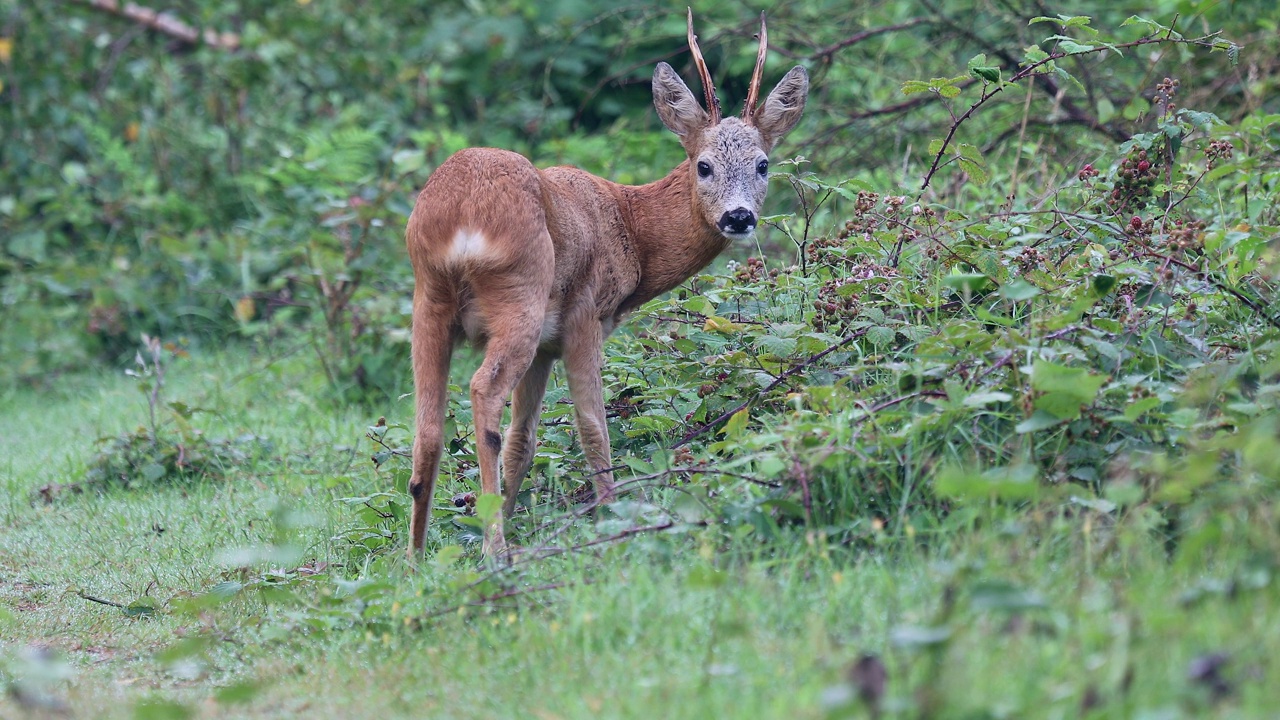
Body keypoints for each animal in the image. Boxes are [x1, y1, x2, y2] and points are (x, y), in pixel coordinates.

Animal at [404, 9, 803, 556]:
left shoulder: (547, 346)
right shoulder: (584, 315)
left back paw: (416, 559)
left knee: (428, 428)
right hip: (521, 294)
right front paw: (613, 520)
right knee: (483, 390)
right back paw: (495, 549)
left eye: (763, 164)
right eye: (704, 165)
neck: (629, 226)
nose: (738, 217)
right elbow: (593, 428)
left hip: (429, 302)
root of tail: (461, 212)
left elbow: (523, 441)